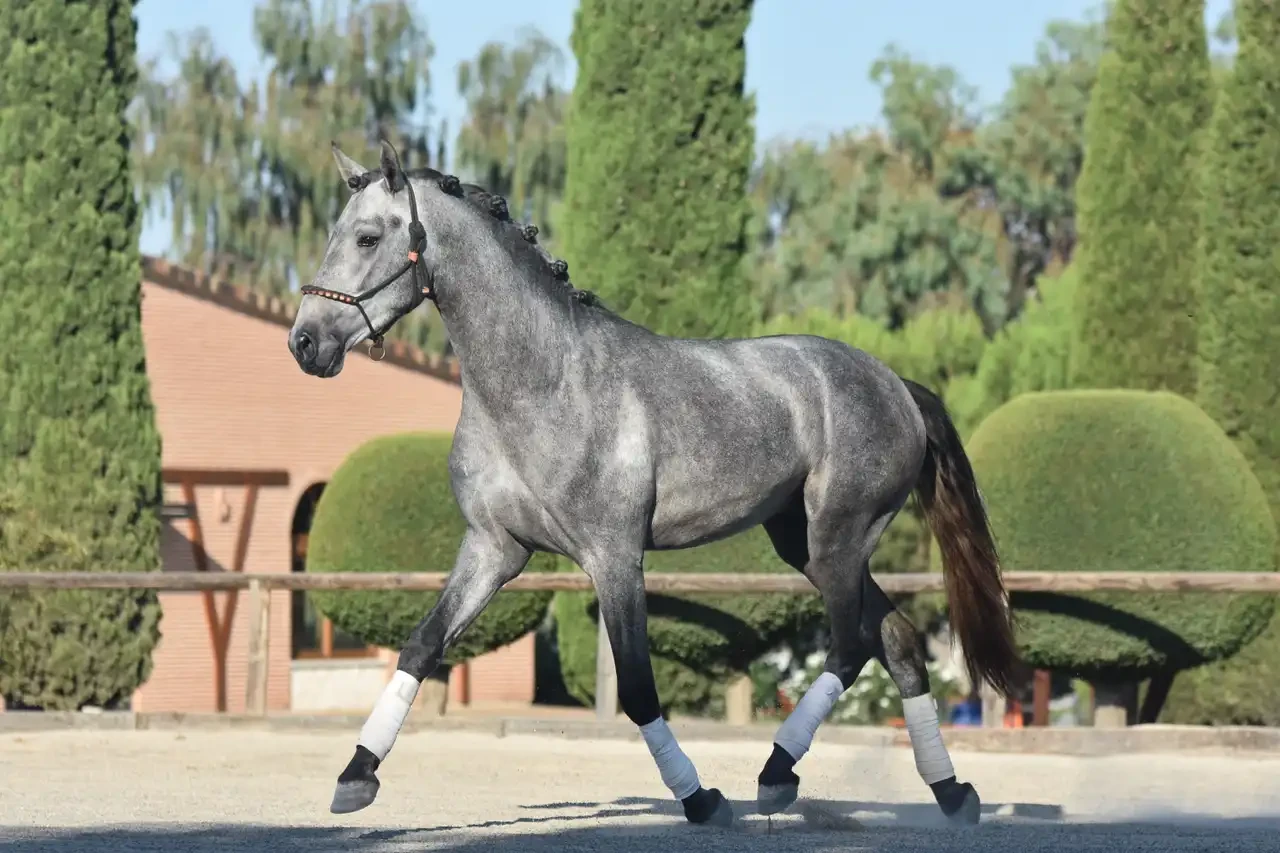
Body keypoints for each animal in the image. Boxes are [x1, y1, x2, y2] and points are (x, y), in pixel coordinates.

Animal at [287, 139, 1019, 828]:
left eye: (367, 237)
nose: (305, 343)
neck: (539, 384)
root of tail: (897, 386)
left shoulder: (613, 557)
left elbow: (638, 687)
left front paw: (702, 800)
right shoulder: (494, 548)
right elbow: (422, 644)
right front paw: (355, 777)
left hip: (840, 537)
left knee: (852, 645)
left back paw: (776, 775)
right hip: (806, 545)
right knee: (899, 642)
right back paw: (952, 793)